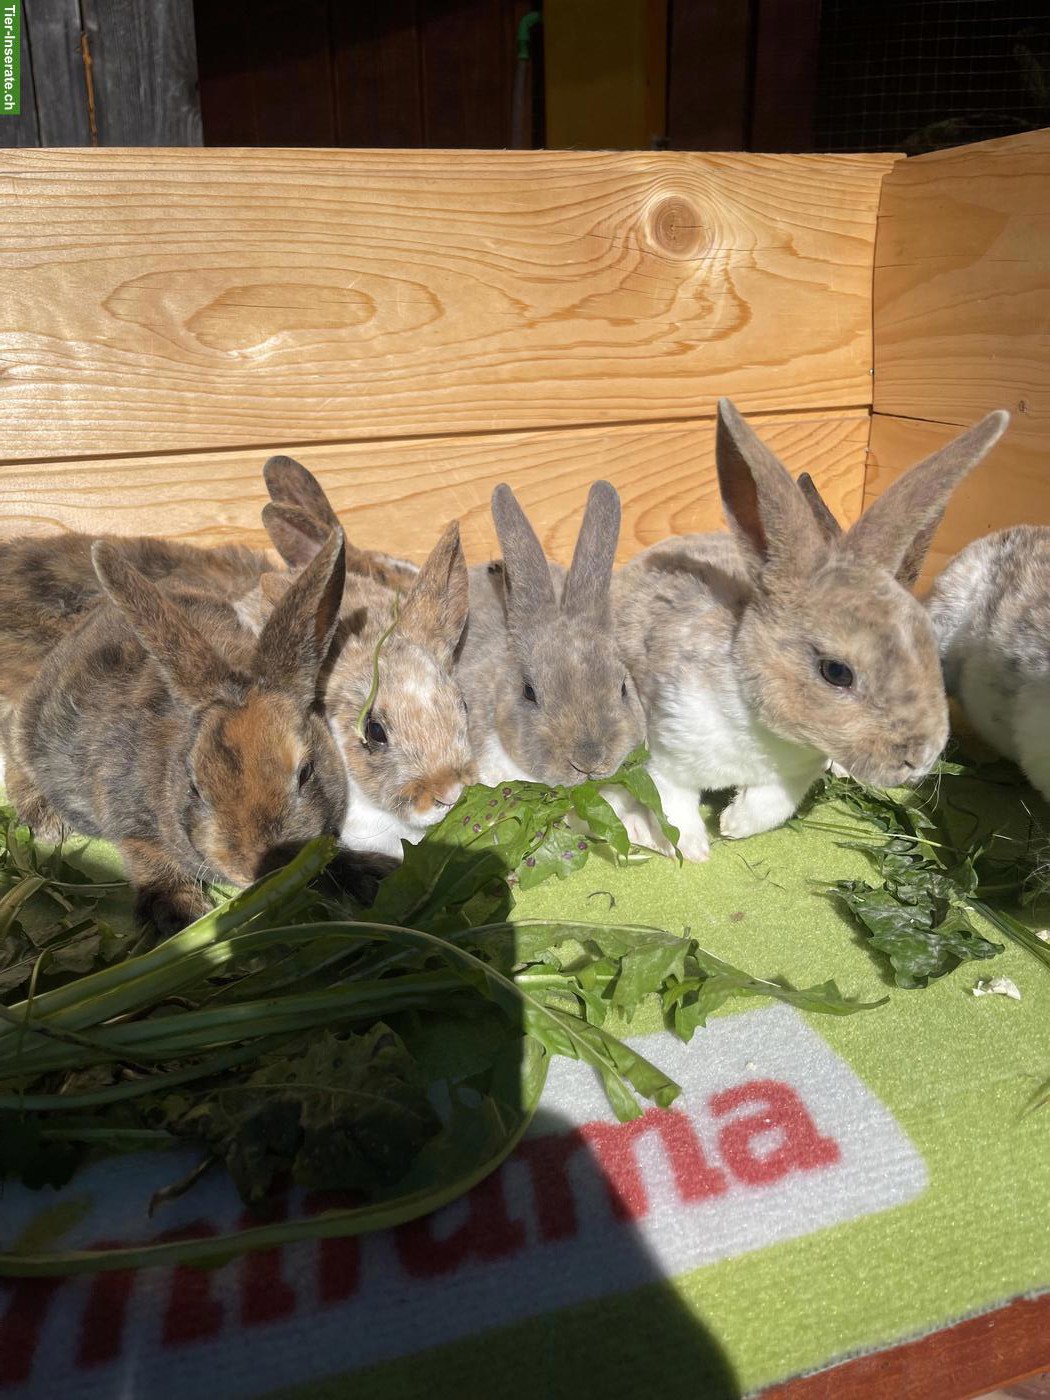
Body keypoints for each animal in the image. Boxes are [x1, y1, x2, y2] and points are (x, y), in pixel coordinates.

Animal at [4, 528, 385, 935]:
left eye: (306, 773)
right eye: (195, 788)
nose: (258, 868)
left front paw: (370, 876)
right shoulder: (128, 820)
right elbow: (151, 860)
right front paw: (181, 919)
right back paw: (45, 820)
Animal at [609, 398, 1010, 862]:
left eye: (928, 644)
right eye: (836, 672)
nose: (920, 760)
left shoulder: (795, 774)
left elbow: (771, 806)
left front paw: (733, 825)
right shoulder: (667, 754)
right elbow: (673, 806)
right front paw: (695, 850)